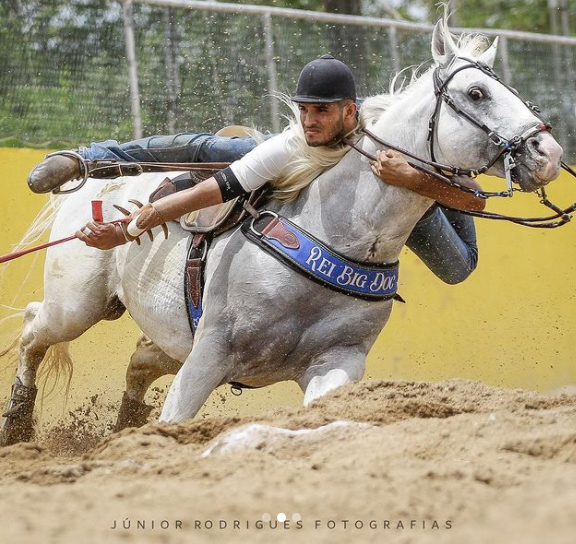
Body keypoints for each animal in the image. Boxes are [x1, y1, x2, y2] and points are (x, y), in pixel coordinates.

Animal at [0, 22, 560, 446]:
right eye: (477, 93)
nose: (548, 153)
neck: (340, 233)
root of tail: (91, 190)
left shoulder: (338, 362)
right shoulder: (210, 353)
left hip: (164, 331)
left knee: (137, 362)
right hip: (79, 305)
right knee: (33, 327)